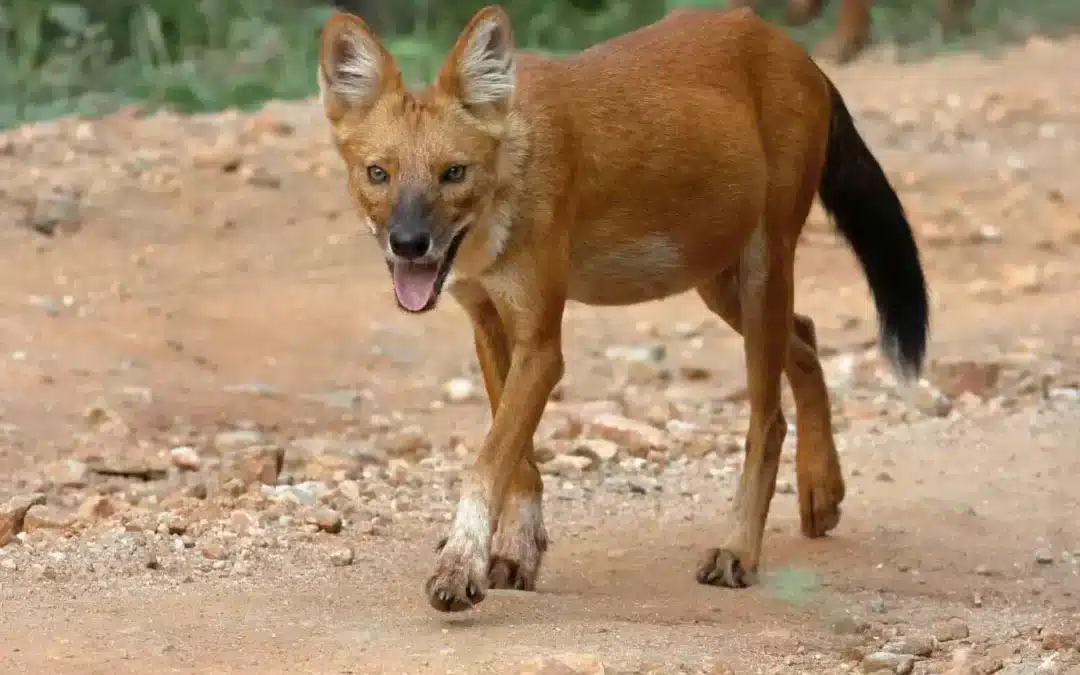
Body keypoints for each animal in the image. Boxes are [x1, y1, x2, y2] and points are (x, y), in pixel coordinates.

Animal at [315, 2, 928, 609]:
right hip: (714, 278)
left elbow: (490, 459)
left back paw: (737, 549)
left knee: (768, 419)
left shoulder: (541, 343)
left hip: (761, 268)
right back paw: (821, 490)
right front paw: (516, 552)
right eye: (378, 173)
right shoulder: (487, 321)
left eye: (453, 173)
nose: (409, 243)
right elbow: (519, 460)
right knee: (806, 337)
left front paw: (460, 565)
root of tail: (792, 49)